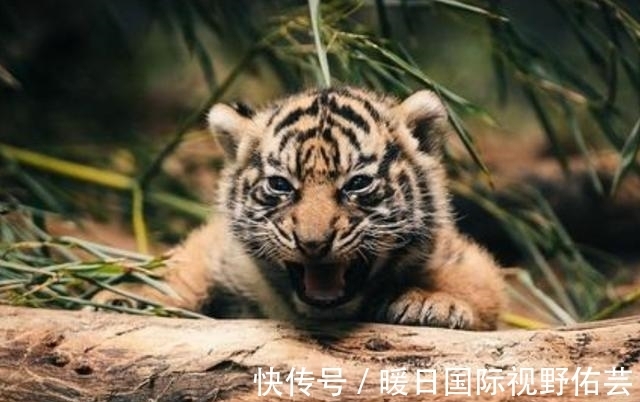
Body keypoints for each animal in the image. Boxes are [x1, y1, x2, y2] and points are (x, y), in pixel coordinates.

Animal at [93, 86, 505, 330]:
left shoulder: (462, 257)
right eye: (280, 185)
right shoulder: (220, 249)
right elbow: (183, 263)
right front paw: (127, 295)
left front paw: (430, 304)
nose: (313, 244)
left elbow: (478, 283)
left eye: (357, 183)